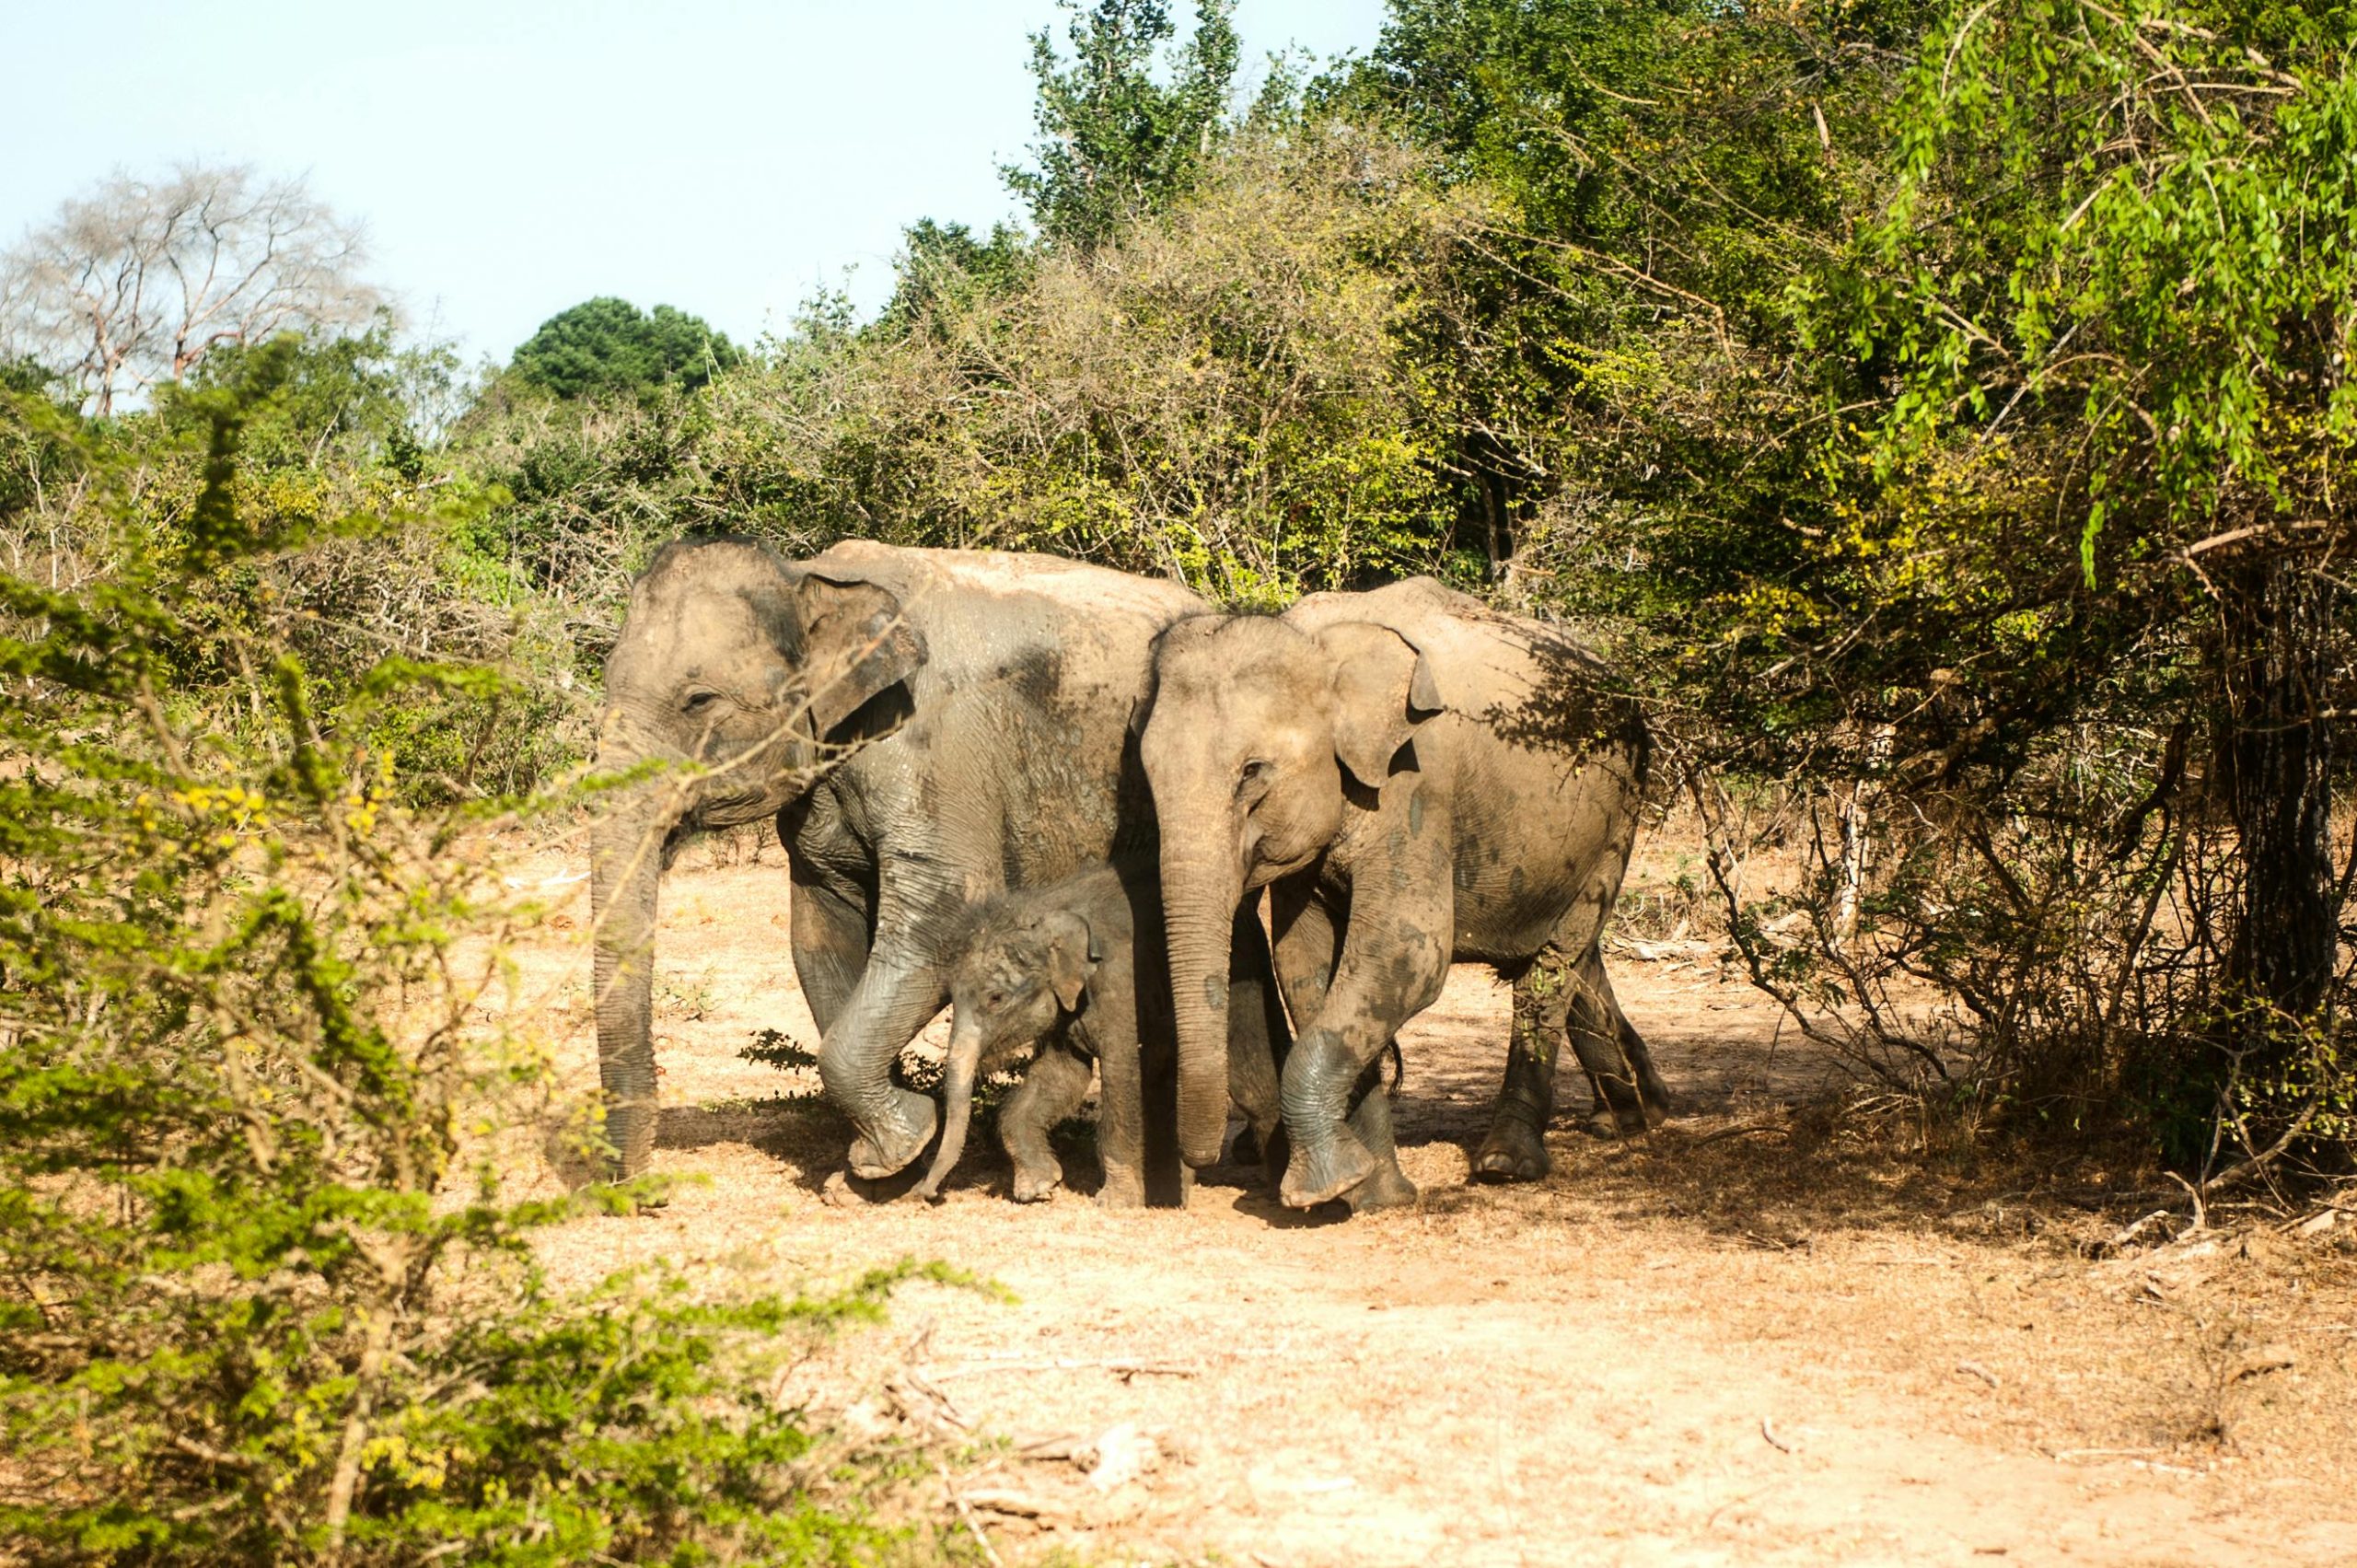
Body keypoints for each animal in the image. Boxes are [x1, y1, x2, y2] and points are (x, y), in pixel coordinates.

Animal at [913, 858, 1288, 1207]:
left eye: (995, 998)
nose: (924, 1192)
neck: (1048, 908)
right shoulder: (1064, 1008)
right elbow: (1060, 1077)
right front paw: (1039, 1188)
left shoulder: (1121, 987)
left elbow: (1123, 1076)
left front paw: (1115, 1201)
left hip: (1241, 978)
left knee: (1250, 1081)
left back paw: (1275, 1191)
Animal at [1138, 576, 1673, 1211]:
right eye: (1146, 774)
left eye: (1253, 771)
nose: (1199, 1164)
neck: (1318, 644)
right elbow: (1307, 967)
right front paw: (1373, 1195)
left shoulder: (1416, 781)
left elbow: (1406, 954)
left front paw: (1323, 1188)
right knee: (1574, 955)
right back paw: (1637, 1116)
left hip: (1621, 808)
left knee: (1551, 967)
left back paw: (1509, 1162)